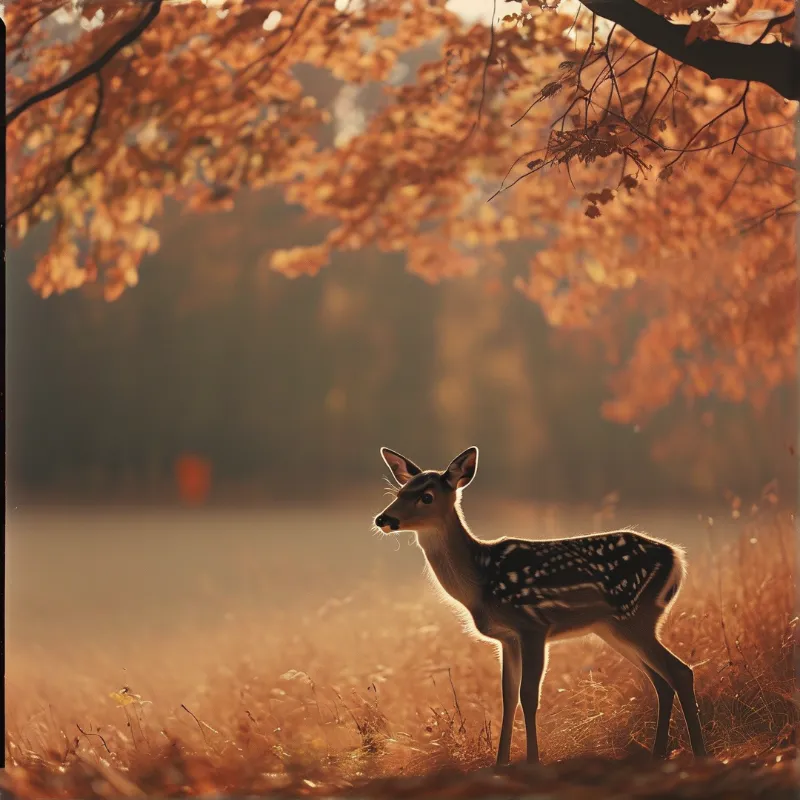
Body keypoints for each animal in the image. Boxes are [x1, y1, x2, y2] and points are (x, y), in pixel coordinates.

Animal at [373, 446, 707, 767]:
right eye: (400, 492)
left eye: (426, 496)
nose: (383, 519)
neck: (479, 582)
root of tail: (676, 558)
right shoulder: (507, 638)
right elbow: (508, 697)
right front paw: (501, 763)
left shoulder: (532, 625)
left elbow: (529, 695)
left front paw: (533, 760)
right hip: (614, 627)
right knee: (661, 681)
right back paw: (658, 754)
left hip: (635, 616)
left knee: (680, 672)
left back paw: (700, 754)